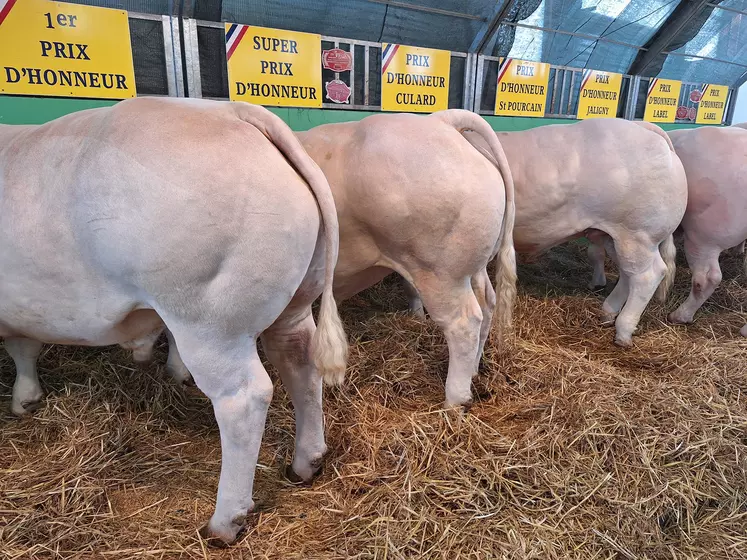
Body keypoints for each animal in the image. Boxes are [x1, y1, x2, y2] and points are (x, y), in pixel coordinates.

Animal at [0, 96, 350, 544]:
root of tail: (233, 112)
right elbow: (24, 344)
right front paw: (26, 397)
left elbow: (20, 347)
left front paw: (23, 396)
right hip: (294, 303)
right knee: (300, 363)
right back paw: (306, 462)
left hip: (209, 322)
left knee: (243, 398)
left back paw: (225, 521)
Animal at [410, 118, 688, 346]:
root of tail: (645, 128)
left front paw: (416, 313)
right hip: (614, 236)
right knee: (628, 274)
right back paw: (608, 311)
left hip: (637, 234)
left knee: (648, 275)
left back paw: (623, 330)